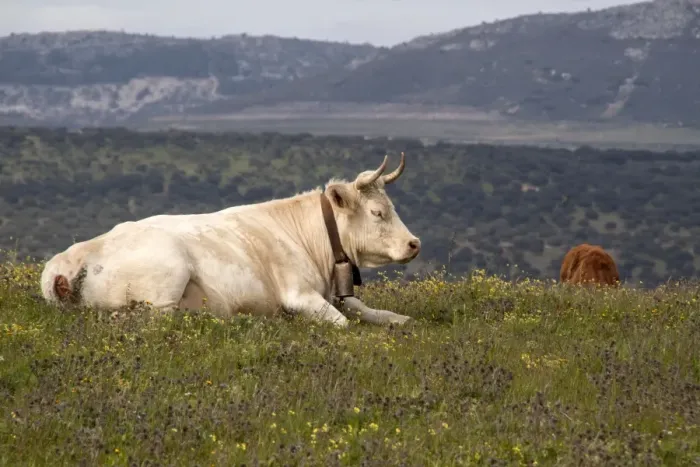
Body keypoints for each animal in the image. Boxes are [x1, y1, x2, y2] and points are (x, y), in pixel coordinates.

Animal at [40, 154, 421, 328]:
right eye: (377, 212)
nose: (414, 243)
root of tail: (70, 258)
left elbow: (374, 312)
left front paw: (402, 321)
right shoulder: (299, 294)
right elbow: (344, 324)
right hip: (168, 276)